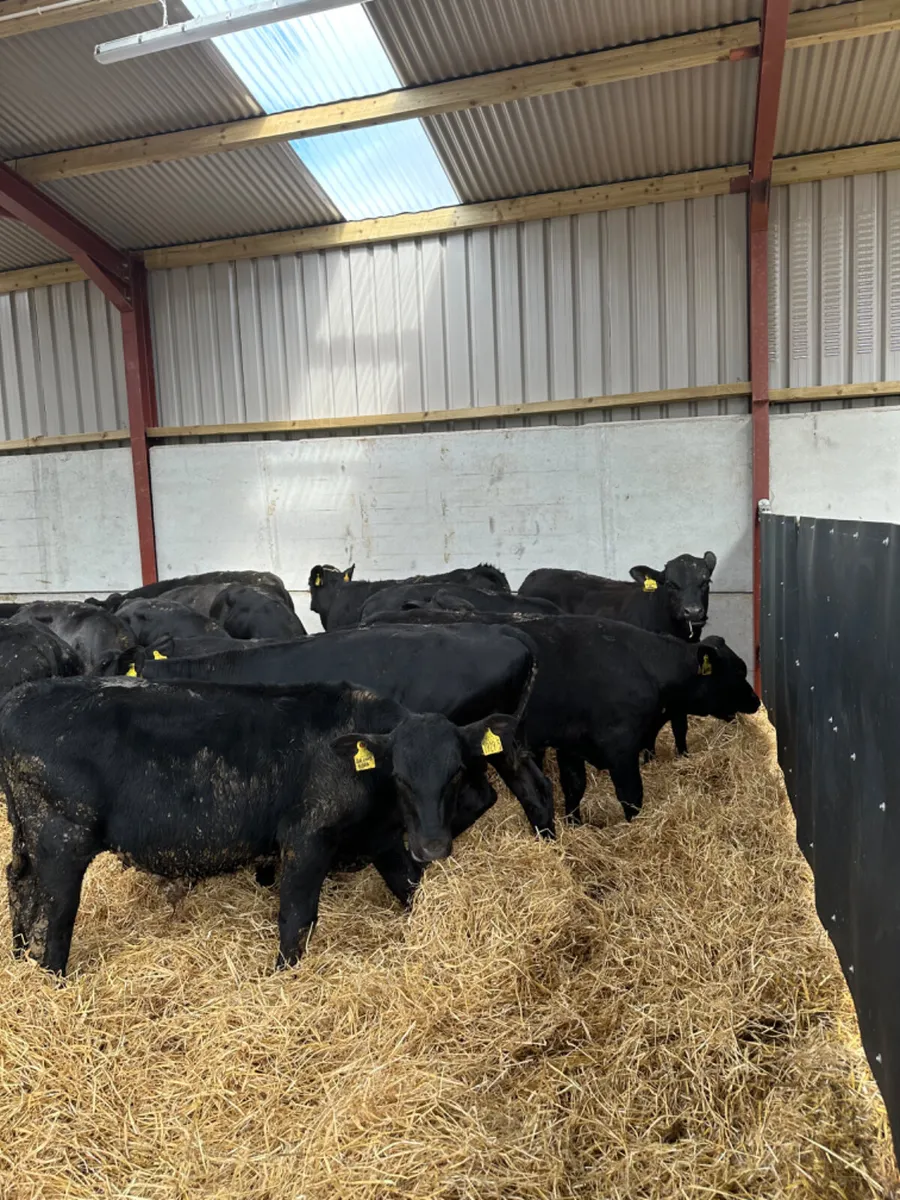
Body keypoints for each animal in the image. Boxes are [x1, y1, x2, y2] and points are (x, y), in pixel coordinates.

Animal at [0, 676, 520, 974]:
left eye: (457, 772)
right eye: (401, 777)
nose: (432, 845)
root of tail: (20, 697)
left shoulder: (386, 840)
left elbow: (411, 891)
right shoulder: (307, 838)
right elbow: (297, 916)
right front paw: (282, 977)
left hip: (28, 836)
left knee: (19, 885)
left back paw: (20, 960)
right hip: (61, 837)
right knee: (56, 910)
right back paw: (52, 978)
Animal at [362, 609, 759, 824]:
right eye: (738, 672)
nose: (756, 702)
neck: (641, 663)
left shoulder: (570, 742)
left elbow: (574, 787)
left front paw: (575, 824)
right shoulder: (620, 746)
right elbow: (631, 796)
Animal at [519, 552, 718, 756]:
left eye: (705, 581)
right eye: (671, 584)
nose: (692, 611)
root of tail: (536, 574)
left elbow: (680, 724)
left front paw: (683, 754)